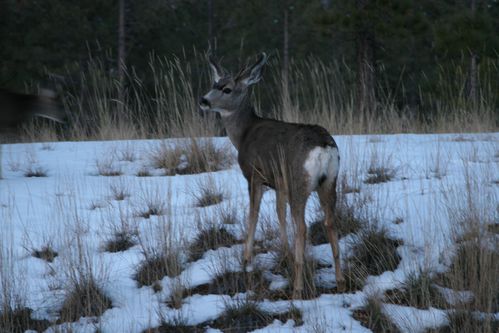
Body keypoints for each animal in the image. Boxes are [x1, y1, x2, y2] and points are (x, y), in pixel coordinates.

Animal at [201, 53, 346, 296]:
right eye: (214, 84)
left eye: (227, 89)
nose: (203, 100)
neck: (243, 134)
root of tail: (324, 147)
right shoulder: (280, 182)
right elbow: (279, 213)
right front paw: (285, 252)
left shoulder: (254, 175)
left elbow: (253, 213)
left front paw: (246, 259)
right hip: (329, 181)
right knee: (330, 221)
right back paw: (340, 280)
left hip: (300, 181)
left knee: (302, 227)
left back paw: (297, 288)